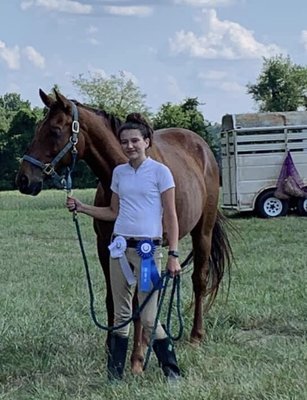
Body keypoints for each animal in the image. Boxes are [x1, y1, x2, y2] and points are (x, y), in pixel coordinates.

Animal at [15, 90, 232, 376]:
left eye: (54, 130)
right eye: (38, 128)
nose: (23, 180)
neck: (121, 174)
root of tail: (203, 148)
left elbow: (139, 304)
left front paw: (137, 359)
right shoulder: (106, 246)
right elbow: (113, 299)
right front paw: (111, 349)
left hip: (202, 234)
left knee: (199, 280)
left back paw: (196, 335)